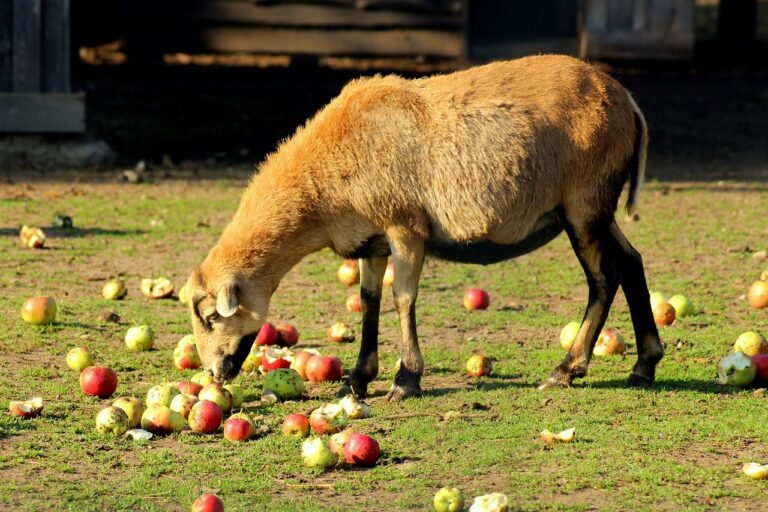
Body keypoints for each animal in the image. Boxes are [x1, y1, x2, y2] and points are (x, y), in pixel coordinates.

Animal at [185, 54, 664, 401]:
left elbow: (402, 298)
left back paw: (566, 370)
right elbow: (369, 301)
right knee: (632, 262)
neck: (322, 184)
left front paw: (405, 380)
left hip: (583, 204)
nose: (215, 372)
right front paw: (357, 380)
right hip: (599, 209)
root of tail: (628, 102)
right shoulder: (372, 239)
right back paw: (644, 365)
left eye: (210, 317)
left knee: (603, 279)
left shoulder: (405, 226)